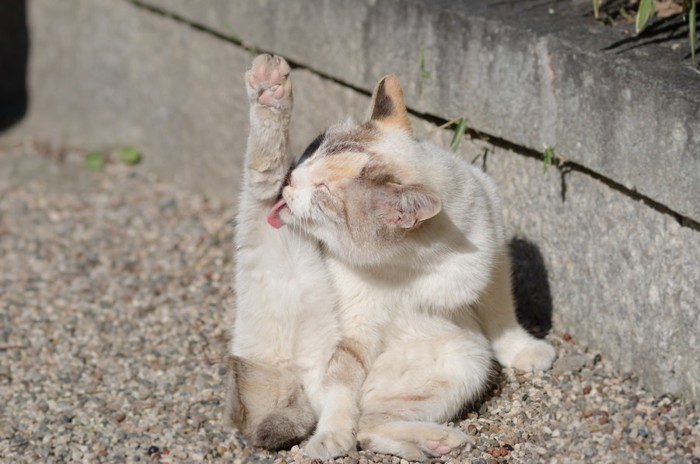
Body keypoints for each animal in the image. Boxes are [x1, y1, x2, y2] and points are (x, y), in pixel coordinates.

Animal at [227, 54, 556, 460]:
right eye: (314, 150)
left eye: (324, 192)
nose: (292, 179)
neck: (414, 261)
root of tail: (299, 396)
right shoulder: (356, 330)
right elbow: (342, 386)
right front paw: (330, 437)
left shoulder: (495, 264)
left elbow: (503, 317)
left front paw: (525, 351)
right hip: (281, 257)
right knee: (260, 182)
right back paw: (269, 87)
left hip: (465, 357)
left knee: (370, 425)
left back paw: (437, 441)